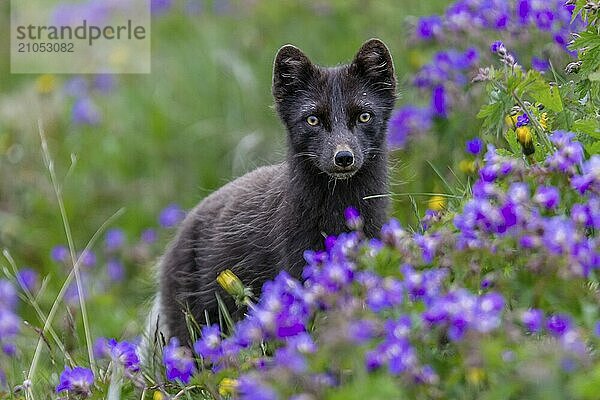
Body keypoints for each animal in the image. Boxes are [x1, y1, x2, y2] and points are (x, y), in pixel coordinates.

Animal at [155, 39, 396, 344]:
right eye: (312, 119)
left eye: (364, 115)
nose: (343, 157)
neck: (338, 211)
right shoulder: (295, 261)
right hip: (192, 317)